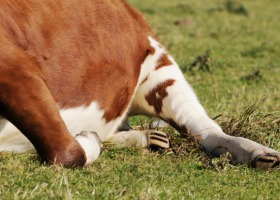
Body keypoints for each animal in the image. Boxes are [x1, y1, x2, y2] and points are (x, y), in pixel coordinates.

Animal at [0, 0, 278, 169]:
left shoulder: (16, 67)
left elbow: (67, 151)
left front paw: (87, 141)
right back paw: (147, 138)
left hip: (160, 64)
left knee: (207, 131)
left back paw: (258, 153)